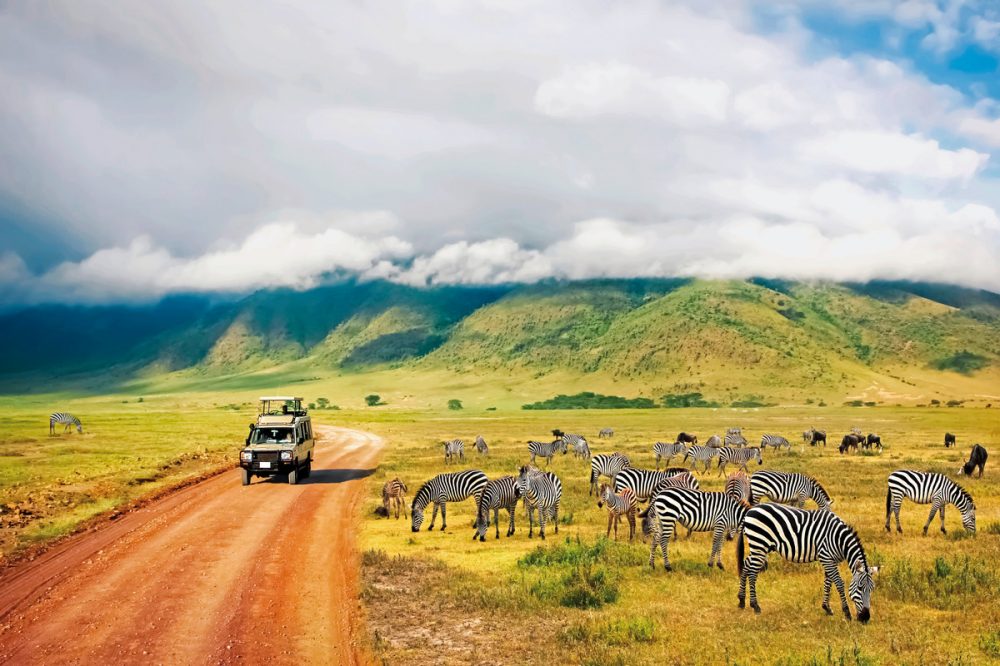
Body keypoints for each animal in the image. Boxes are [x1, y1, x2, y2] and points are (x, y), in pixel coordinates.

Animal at [736, 504, 876, 616]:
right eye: (859, 588)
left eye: (872, 589)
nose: (865, 618)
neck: (839, 539)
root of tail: (749, 511)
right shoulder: (826, 557)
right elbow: (839, 583)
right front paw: (846, 612)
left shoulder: (831, 559)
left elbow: (828, 582)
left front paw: (827, 608)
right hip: (759, 543)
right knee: (753, 573)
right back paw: (755, 605)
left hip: (760, 547)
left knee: (747, 564)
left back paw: (742, 600)